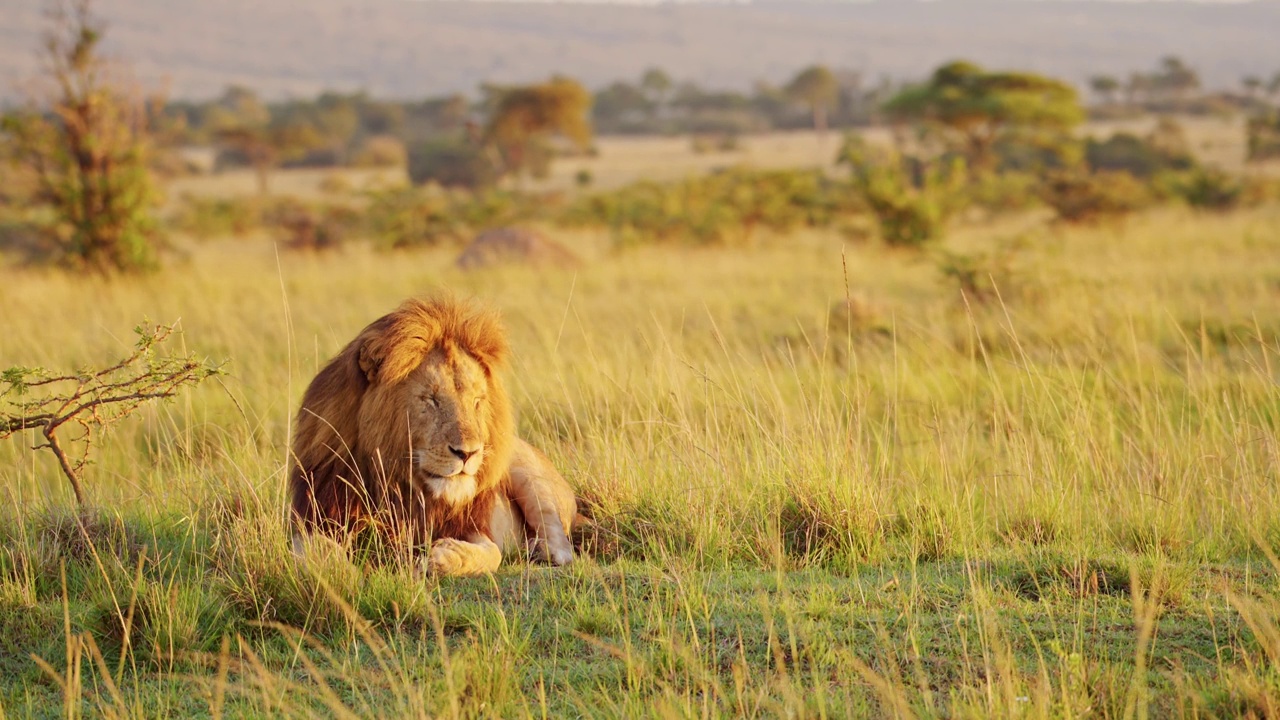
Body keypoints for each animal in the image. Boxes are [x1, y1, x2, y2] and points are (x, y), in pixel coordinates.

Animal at [290, 294, 576, 573]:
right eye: (431, 400)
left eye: (477, 401)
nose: (468, 453)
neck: (402, 487)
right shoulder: (314, 517)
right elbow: (315, 554)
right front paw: (343, 573)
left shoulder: (473, 524)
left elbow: (491, 554)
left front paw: (440, 558)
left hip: (530, 476)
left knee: (562, 543)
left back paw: (539, 549)